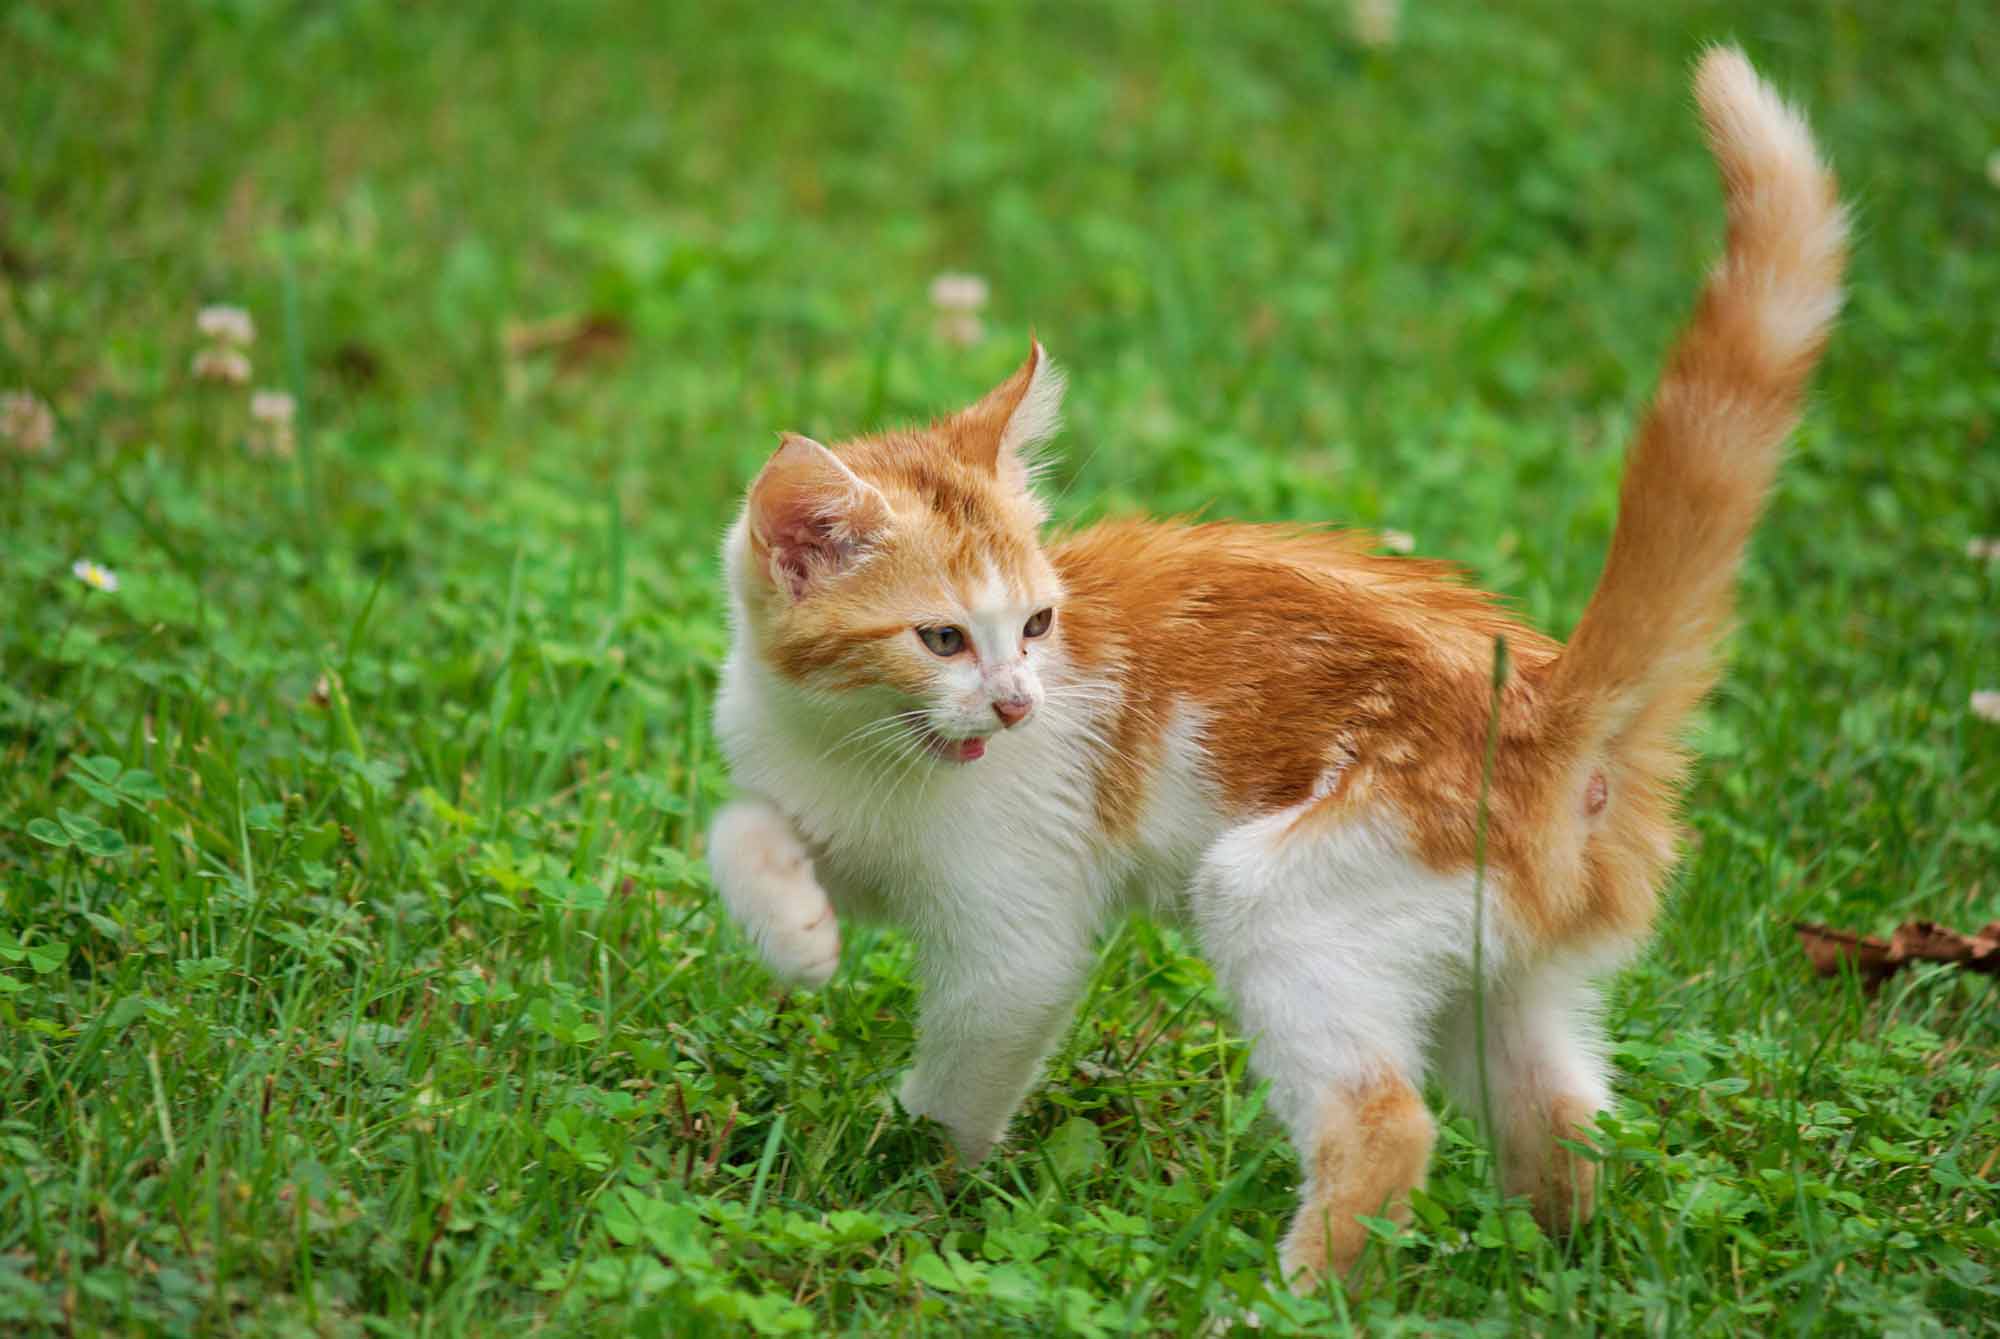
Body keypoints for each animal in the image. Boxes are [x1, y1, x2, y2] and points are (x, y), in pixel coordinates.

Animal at [712, 49, 1848, 1287]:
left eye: (1039, 622)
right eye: (942, 639)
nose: (1015, 704)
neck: (853, 740)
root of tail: (1550, 707)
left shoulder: (1019, 926)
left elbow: (975, 1053)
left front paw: (907, 1181)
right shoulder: (794, 780)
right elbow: (737, 830)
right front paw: (798, 933)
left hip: (1294, 893)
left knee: (1384, 1121)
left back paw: (1284, 1294)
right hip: (1492, 962)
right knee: (1563, 1113)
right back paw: (1559, 1265)